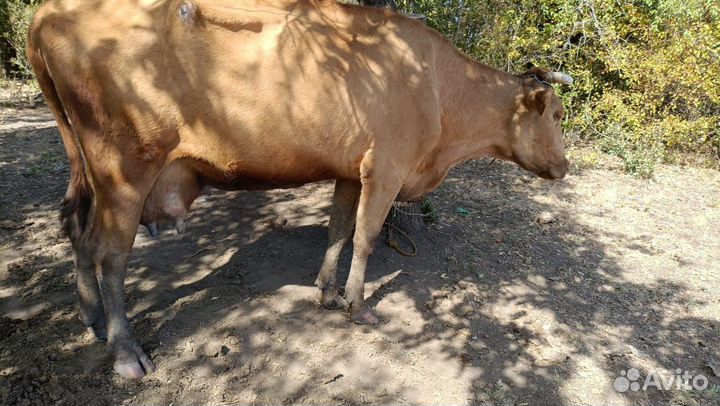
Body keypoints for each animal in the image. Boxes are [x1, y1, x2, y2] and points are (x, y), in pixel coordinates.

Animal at [27, 0, 571, 379]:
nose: (565, 166)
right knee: (111, 254)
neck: (439, 88)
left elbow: (338, 230)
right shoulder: (386, 168)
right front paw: (358, 305)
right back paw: (125, 352)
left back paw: (94, 320)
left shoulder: (352, 169)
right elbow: (366, 238)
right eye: (558, 115)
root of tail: (48, 11)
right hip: (124, 168)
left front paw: (327, 292)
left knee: (77, 229)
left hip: (89, 169)